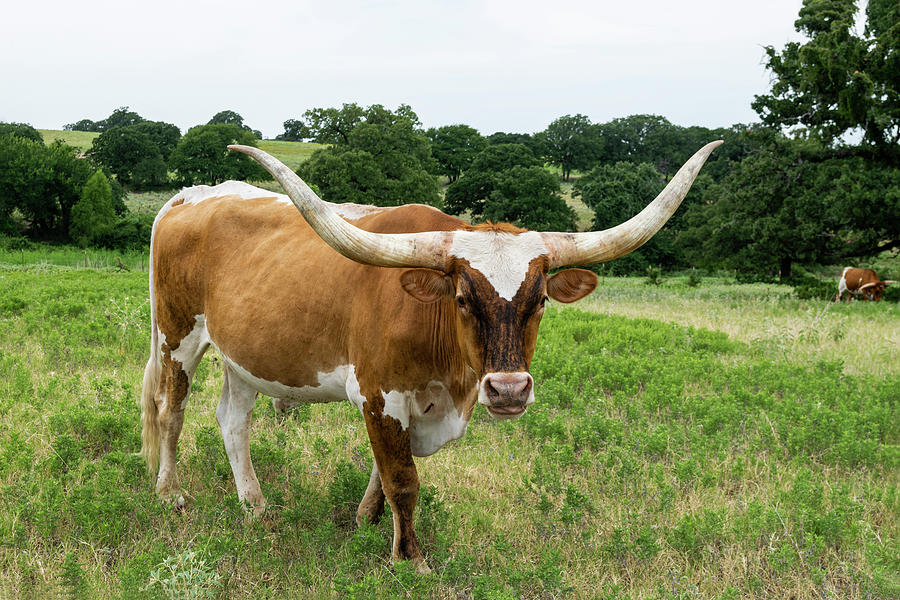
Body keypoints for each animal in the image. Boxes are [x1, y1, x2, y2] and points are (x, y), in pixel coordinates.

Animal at [137, 139, 720, 572]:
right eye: (462, 298)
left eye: (540, 301)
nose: (508, 389)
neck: (450, 378)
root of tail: (191, 196)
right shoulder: (380, 394)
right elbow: (402, 478)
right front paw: (410, 558)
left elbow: (384, 470)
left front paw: (366, 523)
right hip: (177, 336)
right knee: (171, 411)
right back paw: (169, 494)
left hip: (245, 357)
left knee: (233, 421)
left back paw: (256, 508)